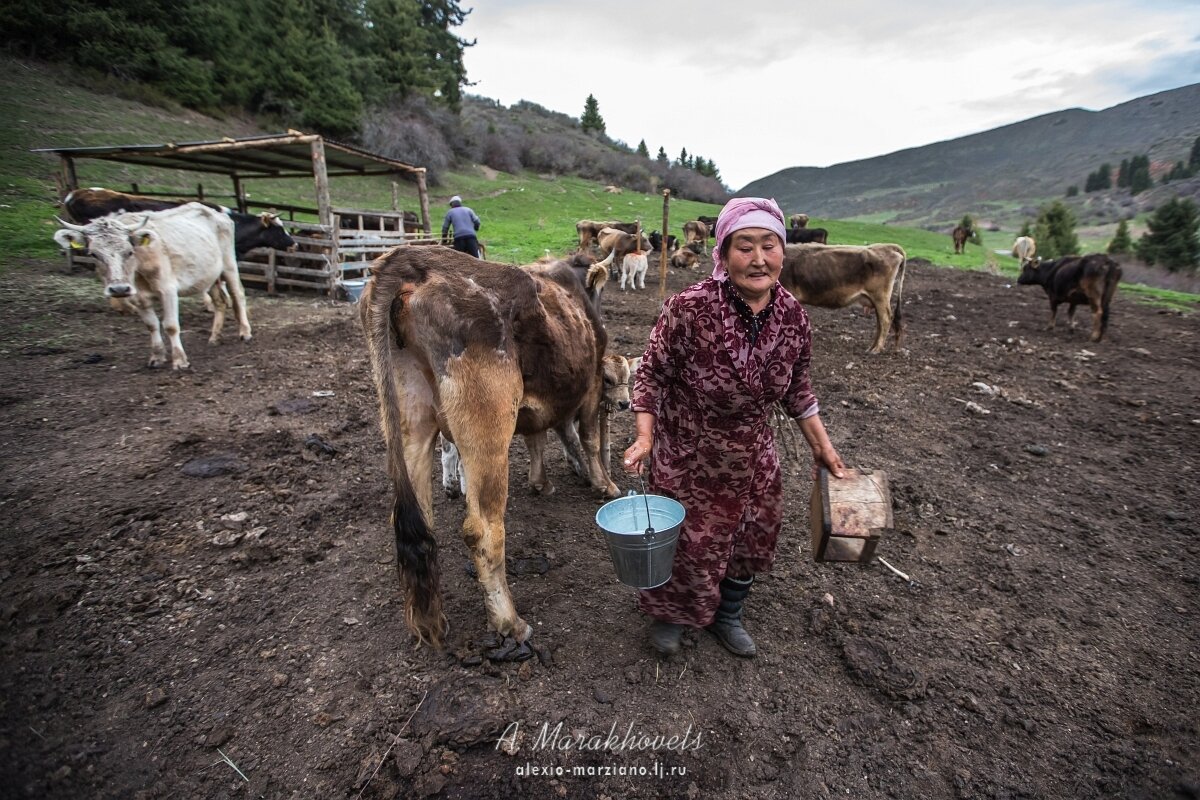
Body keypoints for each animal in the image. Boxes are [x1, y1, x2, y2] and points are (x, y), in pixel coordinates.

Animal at [357, 247, 619, 647]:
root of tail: (415, 258)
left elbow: (538, 438)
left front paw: (542, 482)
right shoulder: (590, 384)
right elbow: (587, 438)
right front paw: (603, 483)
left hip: (411, 415)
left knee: (417, 520)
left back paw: (429, 619)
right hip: (488, 422)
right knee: (481, 529)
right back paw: (508, 620)